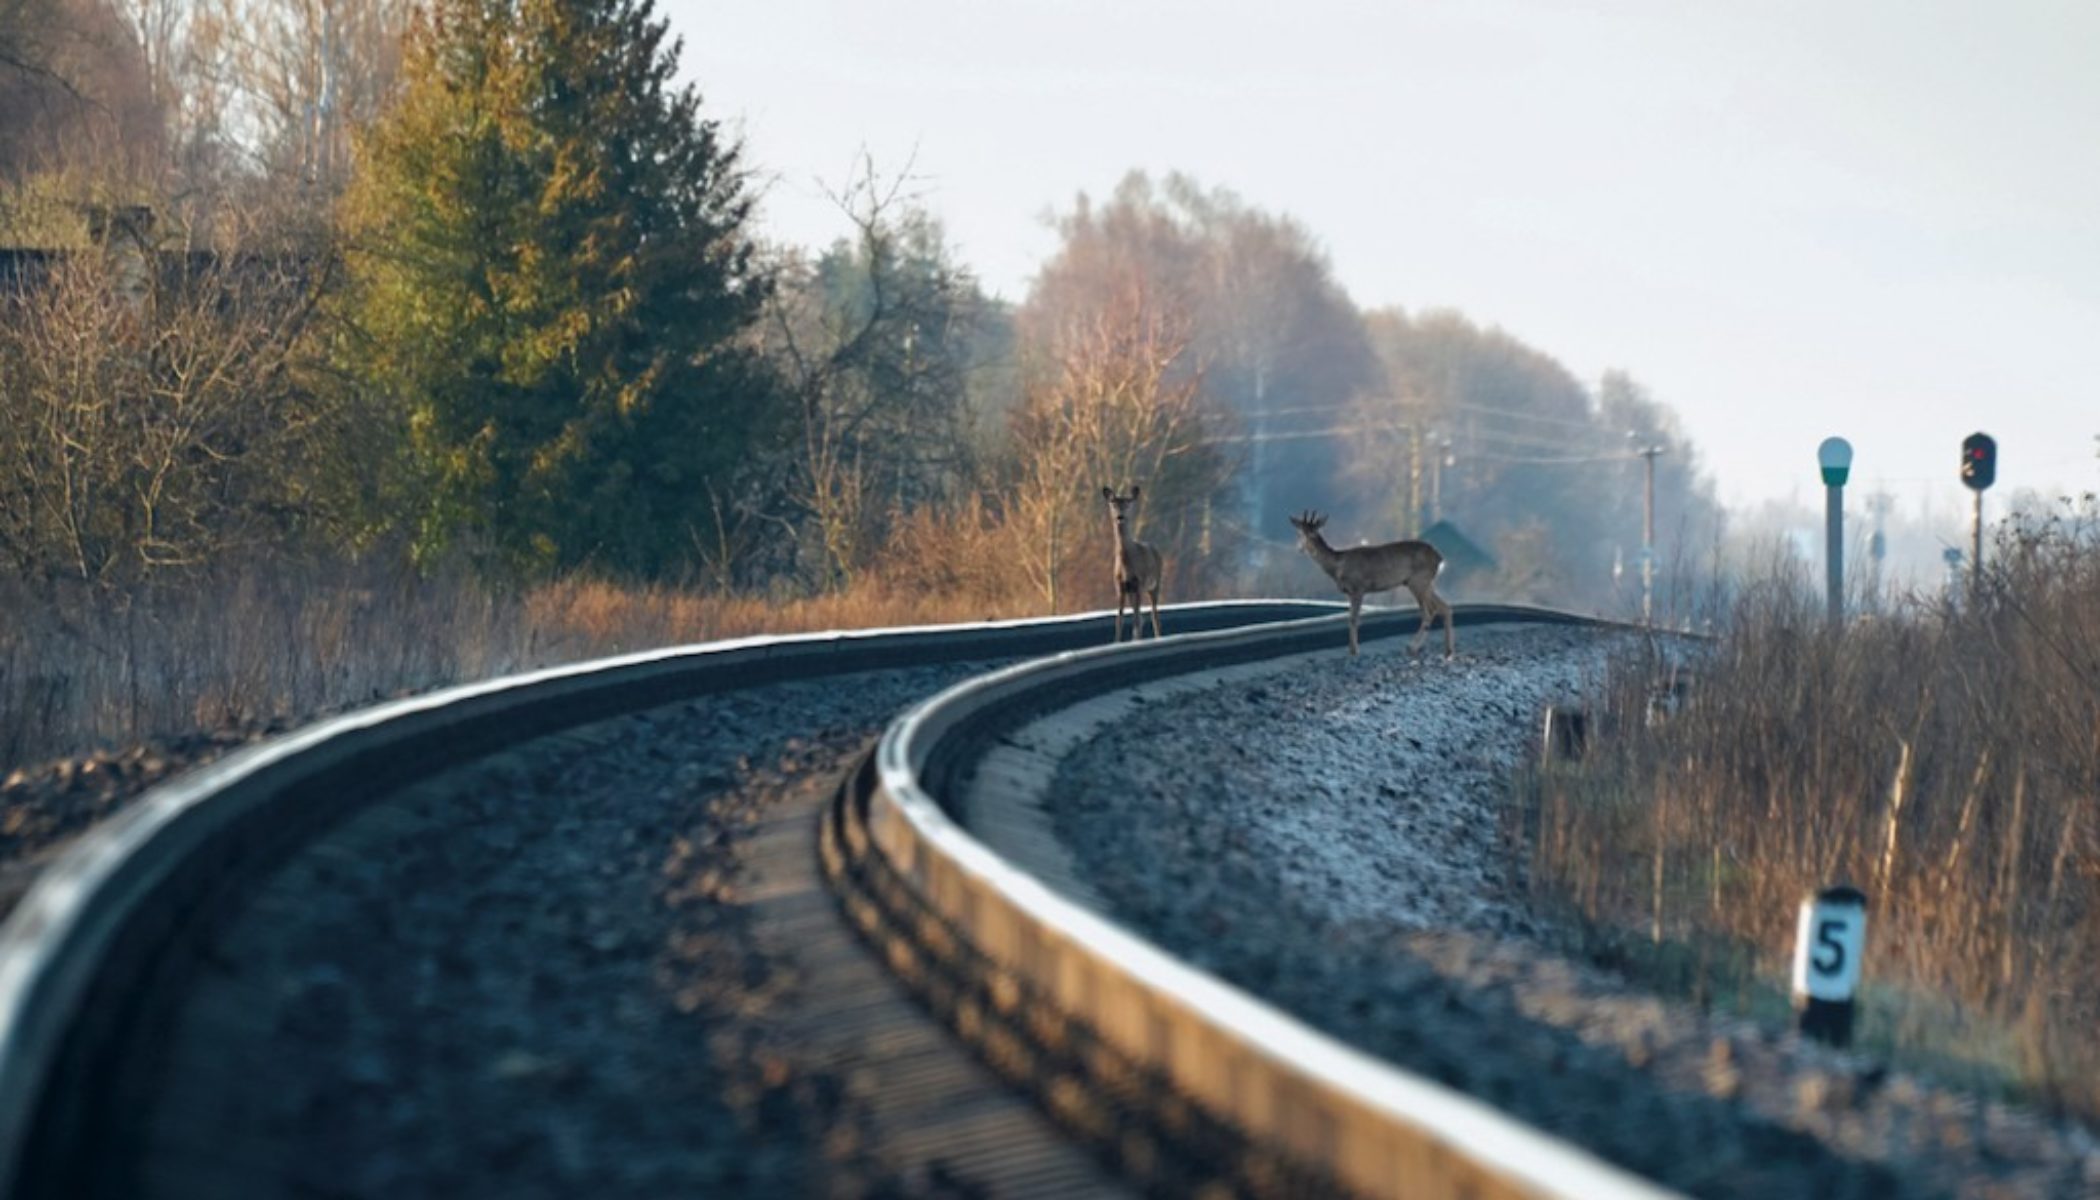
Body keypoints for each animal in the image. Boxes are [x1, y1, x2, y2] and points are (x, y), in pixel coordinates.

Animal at [1100, 485, 1167, 643]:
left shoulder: (1139, 583)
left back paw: (1157, 636)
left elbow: (1136, 620)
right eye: (1113, 503)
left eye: (1128, 503)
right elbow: (1119, 620)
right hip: (1133, 591)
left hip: (1155, 584)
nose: (1120, 517)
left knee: (1154, 616)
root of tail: (1155, 548)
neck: (1126, 566)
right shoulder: (1120, 587)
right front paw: (1117, 641)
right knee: (1142, 616)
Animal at [1285, 506, 1453, 655]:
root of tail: (1439, 557)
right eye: (1300, 533)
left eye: (1314, 533)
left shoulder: (1358, 588)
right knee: (1444, 607)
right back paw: (1447, 651)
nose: (1303, 548)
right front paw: (1352, 649)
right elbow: (1351, 618)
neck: (1338, 566)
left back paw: (1412, 647)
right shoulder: (1350, 592)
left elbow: (1354, 619)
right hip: (1425, 583)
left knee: (1429, 612)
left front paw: (1354, 651)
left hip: (1418, 581)